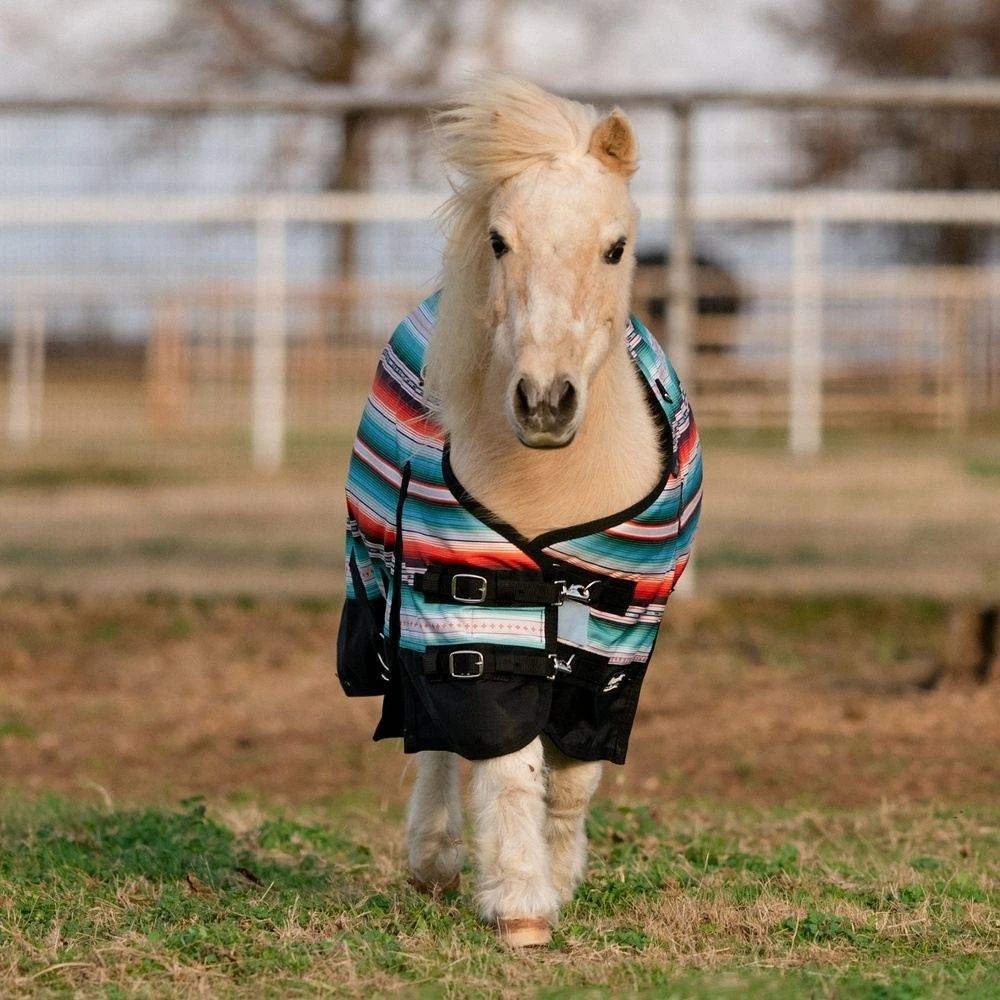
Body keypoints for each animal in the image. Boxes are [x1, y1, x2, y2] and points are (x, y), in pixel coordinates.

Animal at [338, 76, 701, 947]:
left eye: (615, 247)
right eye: (500, 242)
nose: (542, 402)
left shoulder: (616, 633)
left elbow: (571, 776)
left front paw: (559, 878)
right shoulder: (471, 598)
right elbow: (502, 759)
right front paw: (522, 907)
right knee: (434, 733)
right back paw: (434, 858)